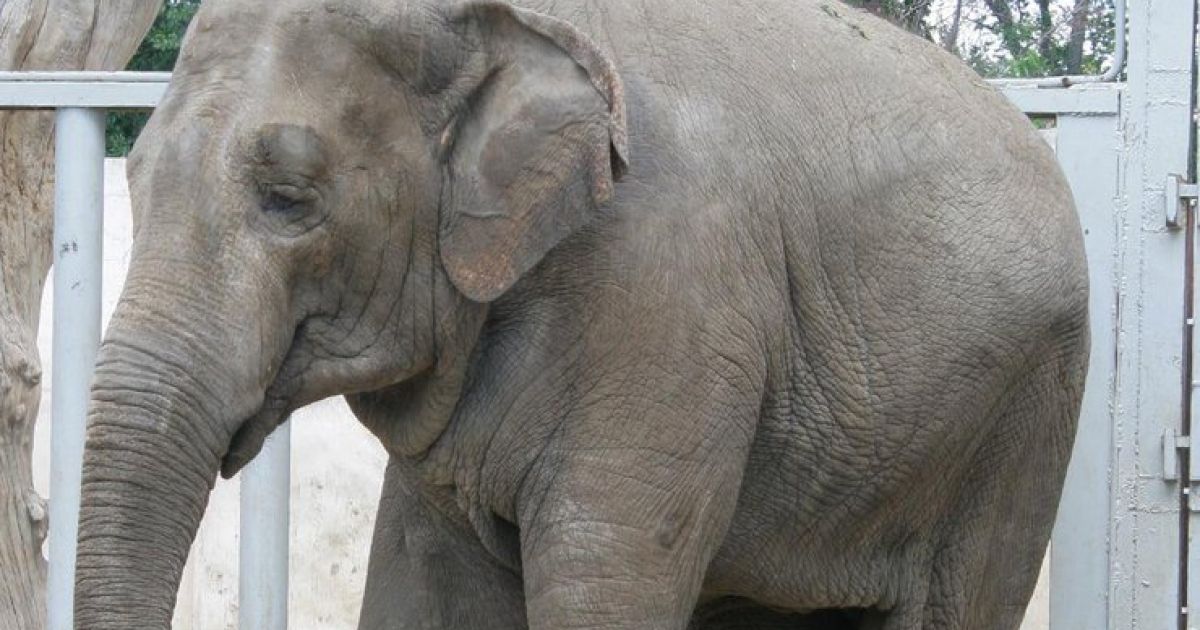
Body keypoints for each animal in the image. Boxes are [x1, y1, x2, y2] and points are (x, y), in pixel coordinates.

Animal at [71, 0, 1090, 628]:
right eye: (134, 179)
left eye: (289, 199)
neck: (503, 22)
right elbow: (424, 591)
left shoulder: (671, 298)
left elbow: (605, 576)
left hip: (1025, 414)